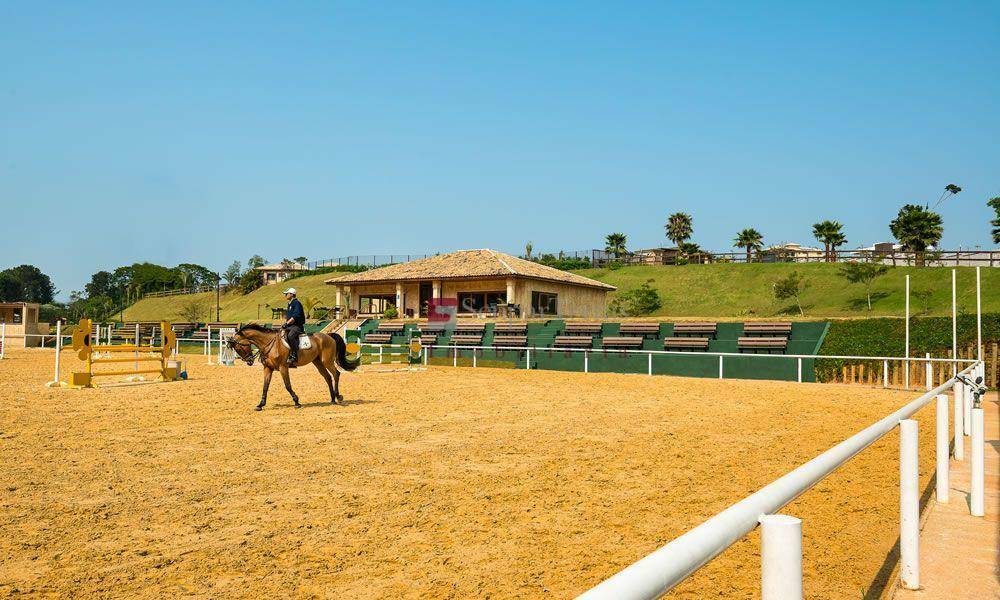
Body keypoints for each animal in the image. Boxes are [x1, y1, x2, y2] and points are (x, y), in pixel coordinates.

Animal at [229, 326, 358, 410]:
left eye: (239, 348)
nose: (249, 361)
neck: (269, 343)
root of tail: (328, 335)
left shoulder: (283, 367)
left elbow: (287, 385)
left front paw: (297, 402)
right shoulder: (268, 368)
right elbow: (265, 387)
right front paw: (260, 404)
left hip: (327, 361)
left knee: (336, 374)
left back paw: (338, 396)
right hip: (318, 363)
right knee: (327, 377)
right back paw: (332, 399)